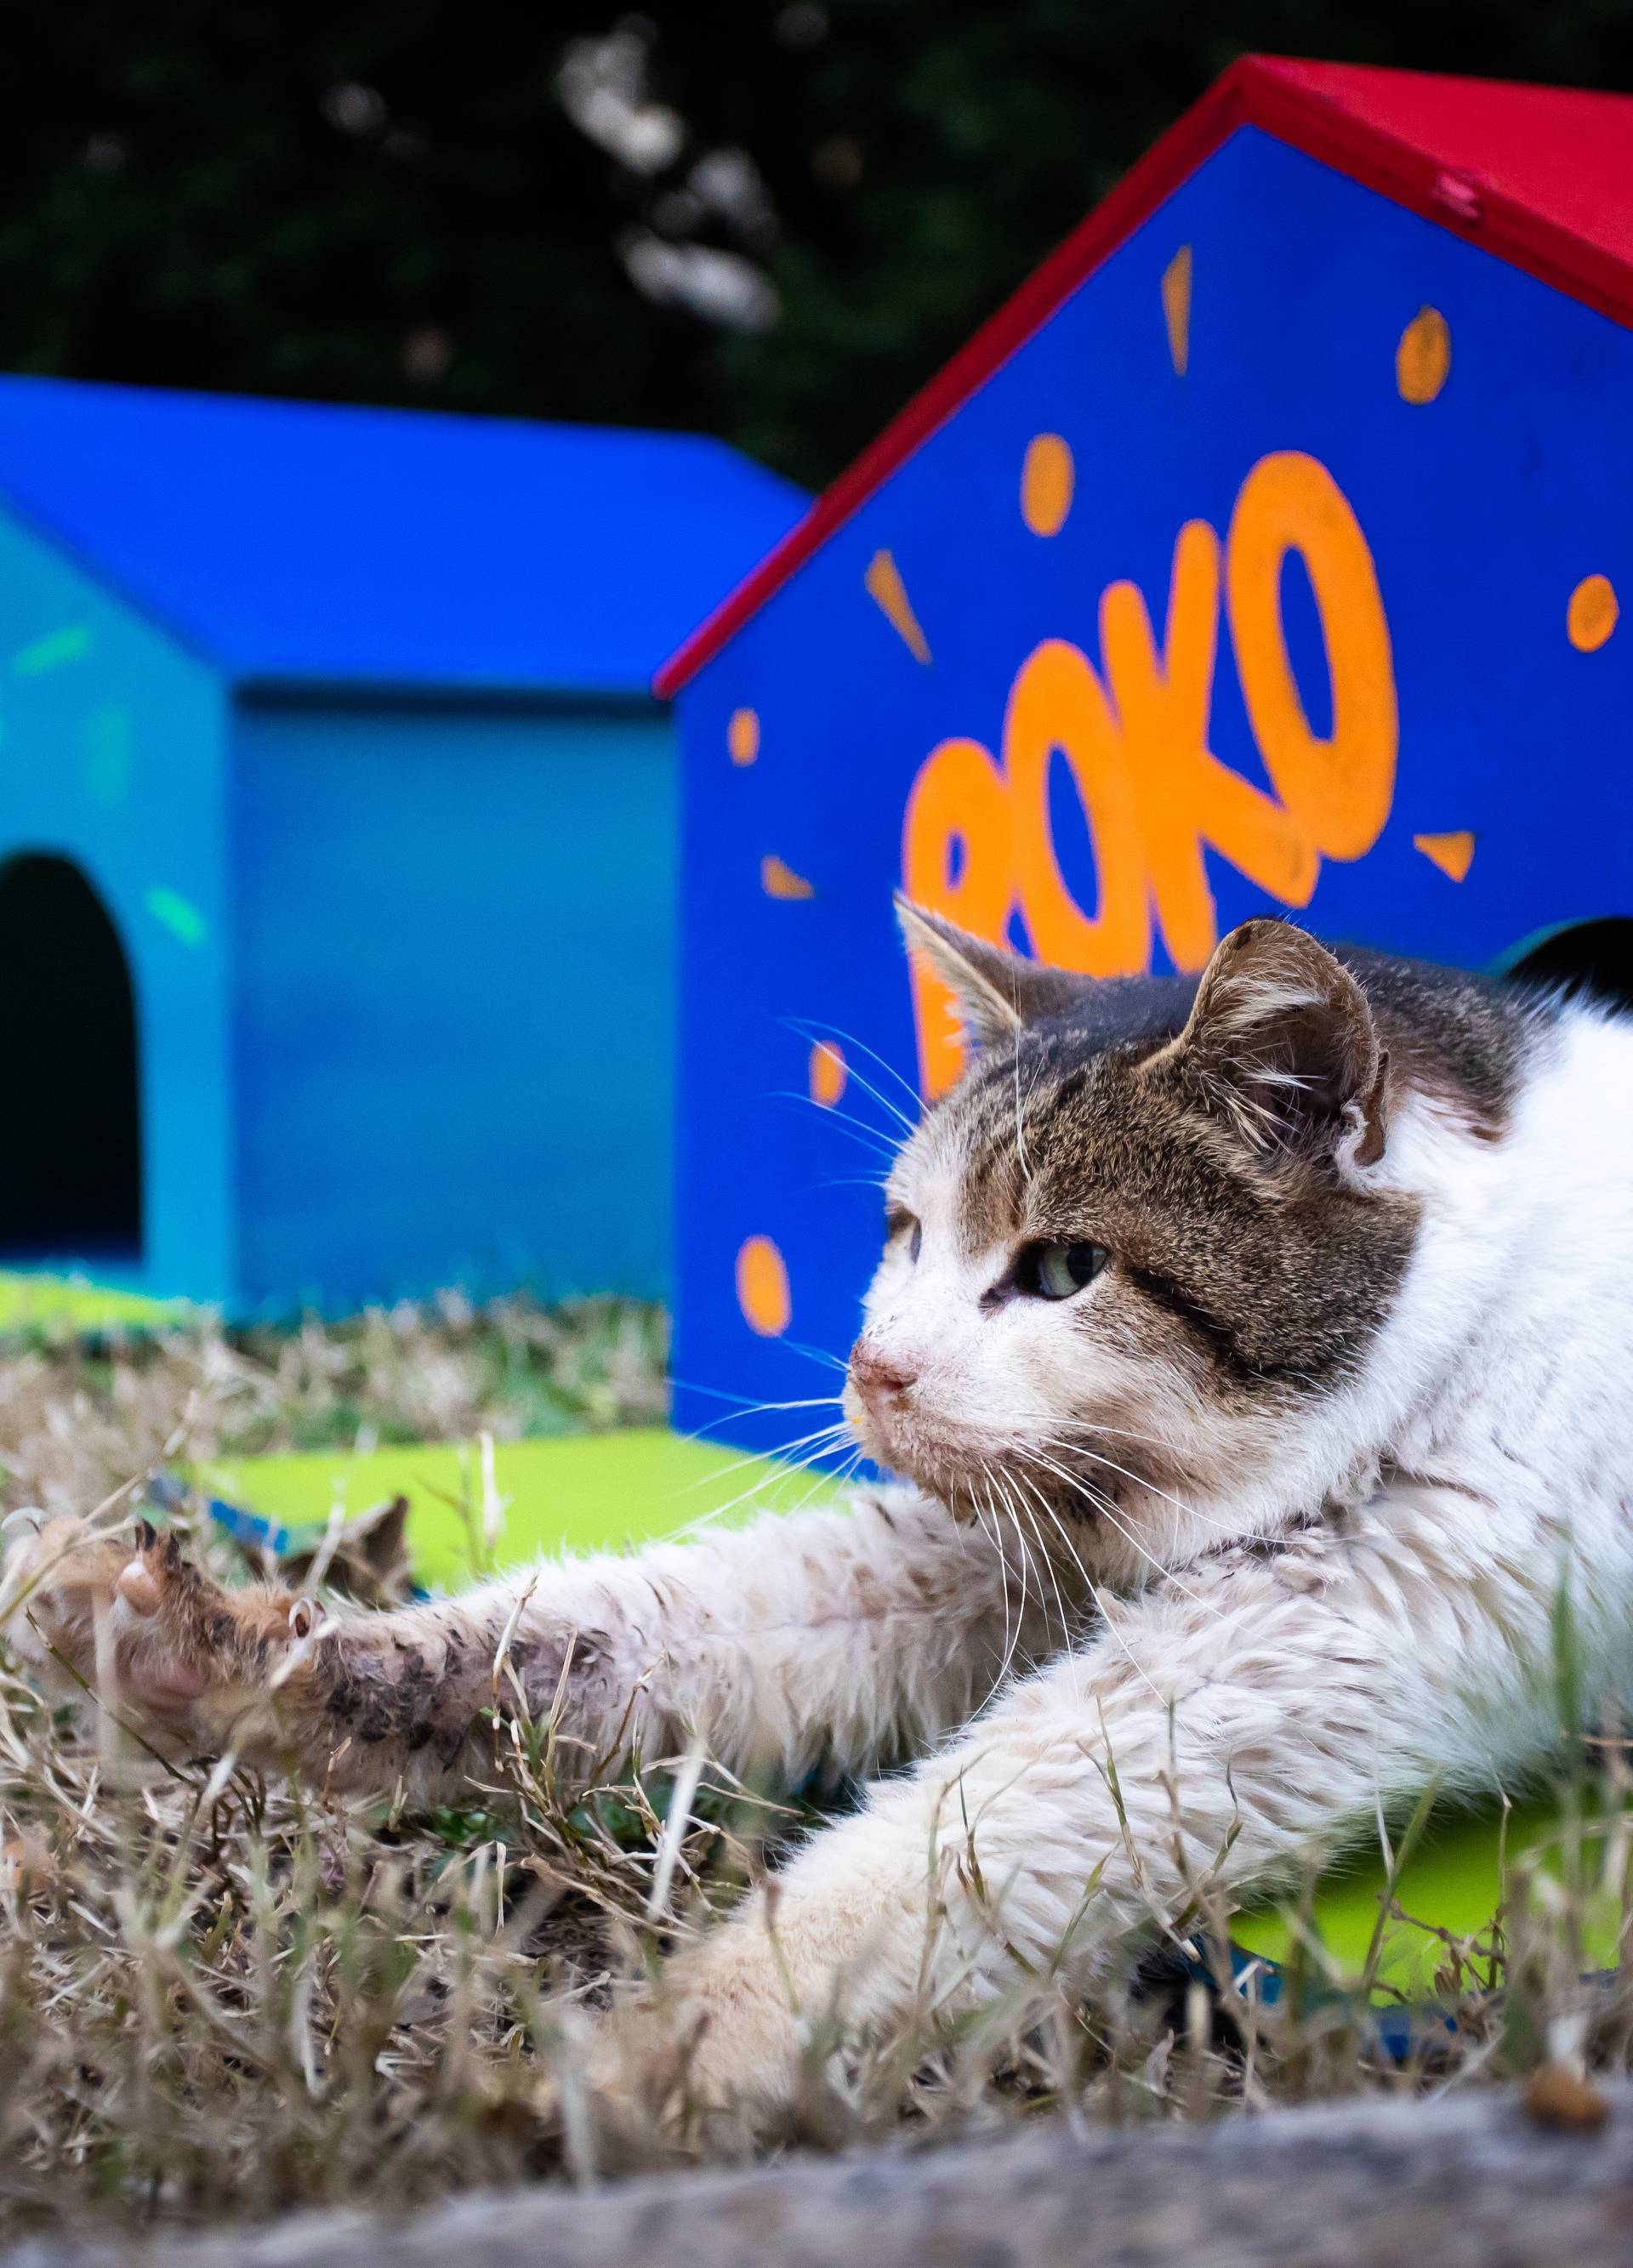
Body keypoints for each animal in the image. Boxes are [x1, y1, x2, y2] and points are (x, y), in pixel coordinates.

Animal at [3, 912, 1633, 2113]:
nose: (872, 1366)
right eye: (904, 1232)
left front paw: (676, 2046)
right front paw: (229, 1655)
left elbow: (970, 1825)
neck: (1475, 1307)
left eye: (1064, 1270)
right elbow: (639, 1628)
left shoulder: (1365, 1596)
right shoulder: (1000, 1547)